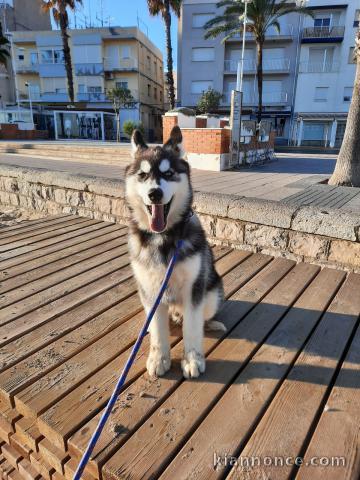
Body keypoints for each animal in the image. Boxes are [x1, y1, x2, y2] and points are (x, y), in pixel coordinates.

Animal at [125, 126, 224, 378]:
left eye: (168, 173)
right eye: (143, 175)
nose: (155, 194)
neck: (164, 238)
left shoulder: (194, 289)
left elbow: (192, 327)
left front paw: (192, 359)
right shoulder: (151, 289)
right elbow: (158, 331)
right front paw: (159, 358)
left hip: (212, 296)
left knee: (200, 317)